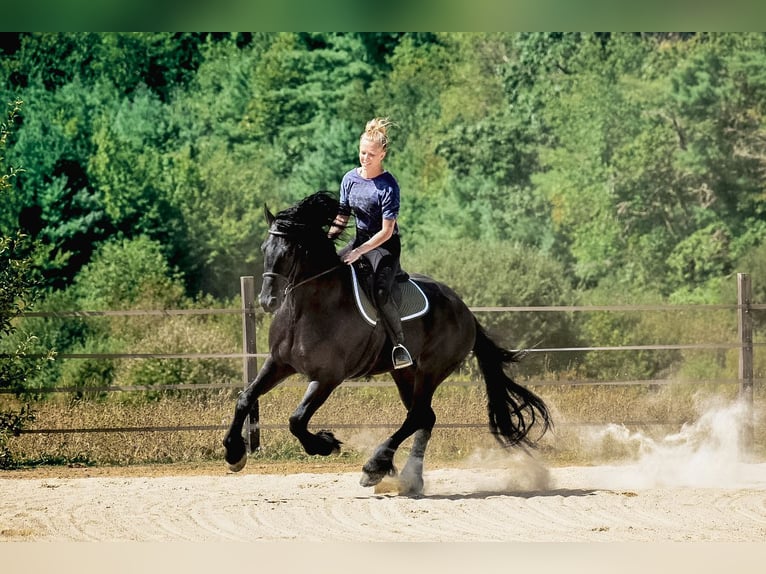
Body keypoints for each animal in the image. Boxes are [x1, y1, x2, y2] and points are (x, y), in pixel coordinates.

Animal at [223, 191, 552, 495]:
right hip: (404, 373)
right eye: (265, 248)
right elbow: (245, 398)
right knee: (424, 417)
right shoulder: (279, 363)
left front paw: (326, 444)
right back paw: (409, 479)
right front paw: (234, 452)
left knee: (418, 415)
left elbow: (296, 419)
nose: (268, 300)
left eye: (291, 251)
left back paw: (374, 467)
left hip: (431, 371)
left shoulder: (327, 377)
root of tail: (465, 310)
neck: (309, 308)